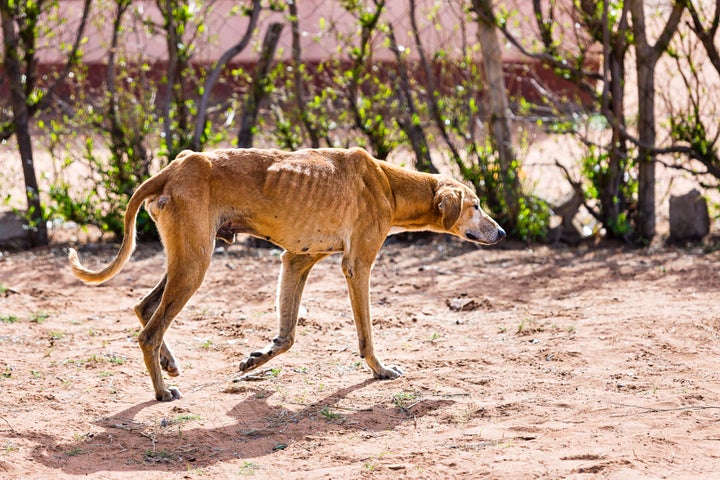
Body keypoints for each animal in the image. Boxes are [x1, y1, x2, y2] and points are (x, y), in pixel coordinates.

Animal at [69, 147, 506, 402]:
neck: (387, 183)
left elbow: (288, 335)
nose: (502, 233)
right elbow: (366, 334)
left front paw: (257, 359)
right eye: (476, 205)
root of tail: (174, 168)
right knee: (149, 331)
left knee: (144, 308)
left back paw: (169, 362)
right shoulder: (357, 266)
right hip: (194, 264)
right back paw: (162, 390)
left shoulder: (296, 261)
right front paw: (380, 370)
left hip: (187, 260)